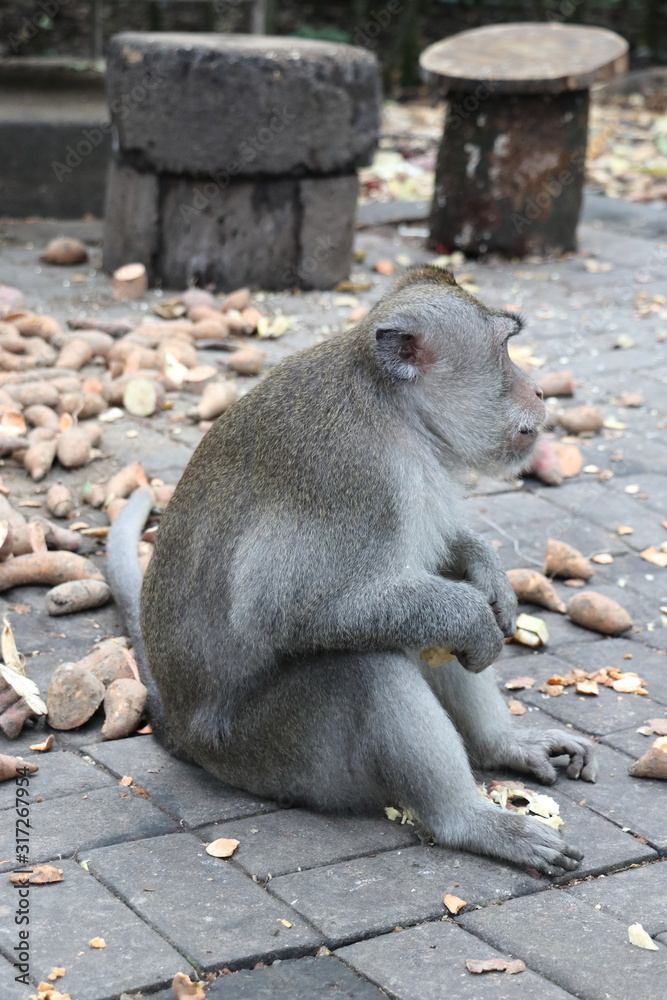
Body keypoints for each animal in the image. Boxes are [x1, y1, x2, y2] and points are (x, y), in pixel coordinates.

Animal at [107, 264, 596, 876]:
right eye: (506, 350)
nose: (538, 390)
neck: (394, 407)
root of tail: (180, 729)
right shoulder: (360, 480)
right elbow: (287, 612)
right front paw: (472, 614)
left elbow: (441, 561)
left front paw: (487, 571)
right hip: (273, 753)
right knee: (366, 664)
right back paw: (467, 820)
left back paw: (500, 746)